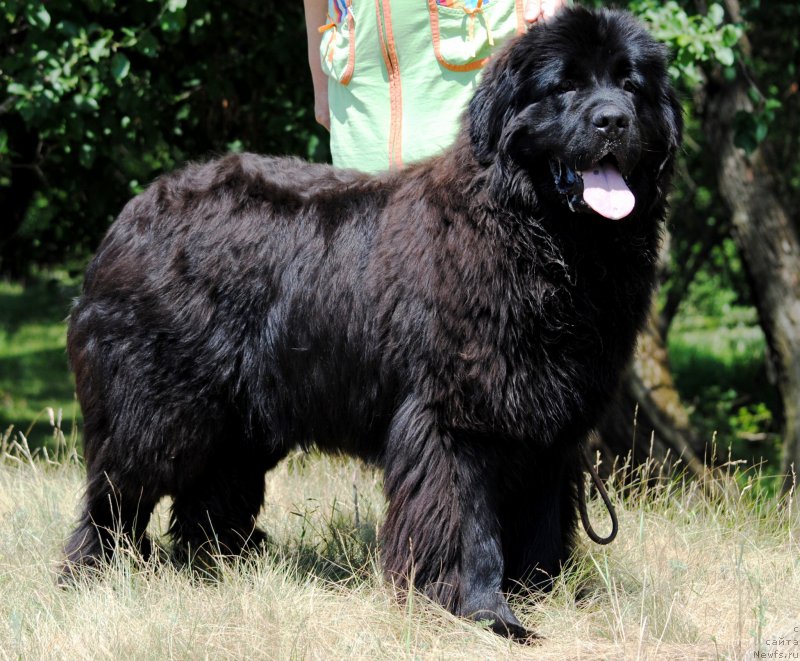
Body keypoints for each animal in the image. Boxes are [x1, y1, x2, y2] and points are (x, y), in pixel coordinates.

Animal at [64, 7, 680, 640]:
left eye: (631, 85)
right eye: (566, 86)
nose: (613, 120)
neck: (546, 242)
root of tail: (134, 211)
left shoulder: (547, 427)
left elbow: (539, 524)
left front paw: (538, 595)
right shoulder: (456, 419)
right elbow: (472, 527)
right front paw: (486, 615)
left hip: (241, 417)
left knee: (208, 492)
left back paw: (223, 567)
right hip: (158, 407)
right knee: (117, 495)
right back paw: (96, 576)